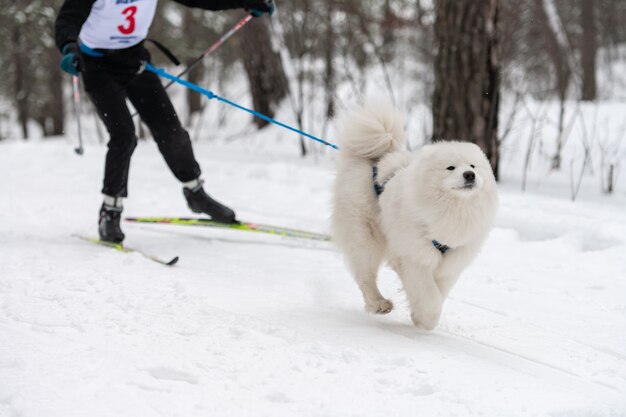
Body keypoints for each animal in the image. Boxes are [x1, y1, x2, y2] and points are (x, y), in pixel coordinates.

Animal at [332, 101, 498, 328]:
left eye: (473, 166)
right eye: (451, 167)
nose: (470, 175)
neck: (454, 210)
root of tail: (375, 158)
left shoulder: (451, 262)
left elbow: (439, 292)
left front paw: (419, 317)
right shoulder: (416, 257)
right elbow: (429, 295)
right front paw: (426, 319)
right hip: (365, 235)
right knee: (365, 274)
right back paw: (379, 304)